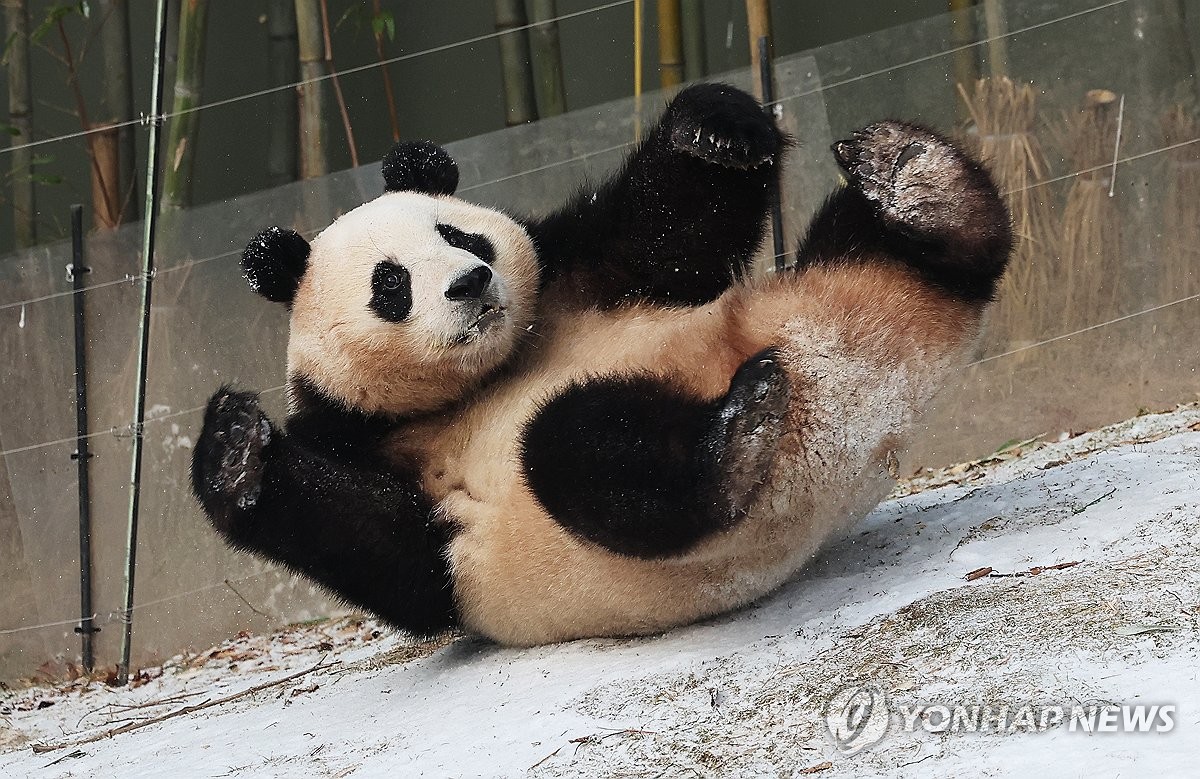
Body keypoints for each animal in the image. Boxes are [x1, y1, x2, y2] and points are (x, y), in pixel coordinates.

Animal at [189, 83, 1012, 643]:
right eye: (390, 284)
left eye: (463, 237)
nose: (470, 284)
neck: (486, 374)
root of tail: (855, 380)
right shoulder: (359, 435)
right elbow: (399, 559)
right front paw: (233, 448)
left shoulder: (573, 275)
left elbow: (666, 235)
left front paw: (717, 126)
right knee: (584, 454)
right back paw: (734, 437)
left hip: (832, 283)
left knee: (919, 246)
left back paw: (916, 179)